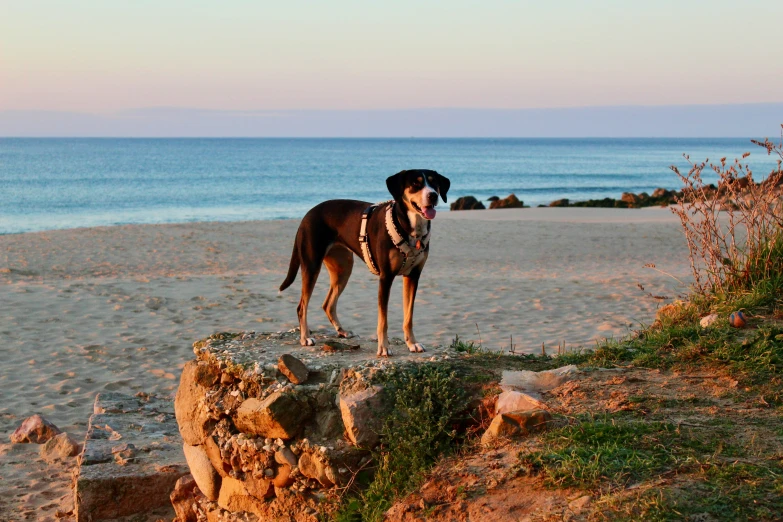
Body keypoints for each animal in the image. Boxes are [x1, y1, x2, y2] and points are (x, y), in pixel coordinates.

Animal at [280, 169, 454, 356]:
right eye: (416, 183)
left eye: (434, 183)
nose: (433, 195)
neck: (410, 229)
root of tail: (307, 215)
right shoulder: (386, 277)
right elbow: (383, 320)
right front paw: (383, 347)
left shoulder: (413, 276)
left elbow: (409, 317)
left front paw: (412, 343)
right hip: (312, 265)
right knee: (302, 306)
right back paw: (305, 337)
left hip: (344, 268)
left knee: (328, 304)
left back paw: (342, 331)